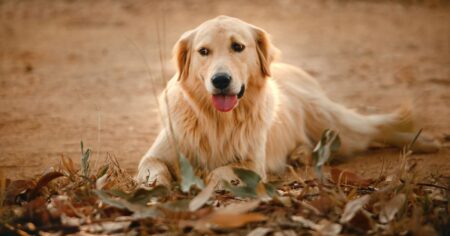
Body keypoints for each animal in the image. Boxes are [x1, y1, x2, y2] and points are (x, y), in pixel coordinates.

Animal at [136, 15, 440, 187]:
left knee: (372, 127)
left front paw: (207, 180)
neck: (217, 119)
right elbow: (151, 167)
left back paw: (424, 142)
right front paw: (153, 184)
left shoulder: (253, 163)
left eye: (238, 47)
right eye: (203, 51)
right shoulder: (160, 150)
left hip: (332, 123)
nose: (220, 80)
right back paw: (301, 154)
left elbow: (223, 170)